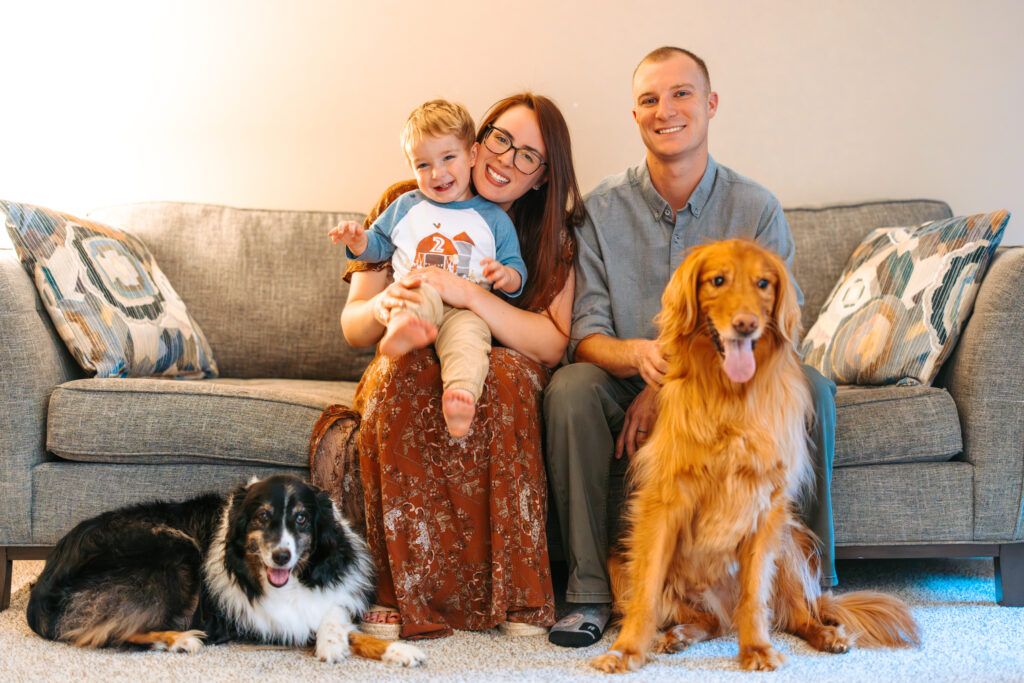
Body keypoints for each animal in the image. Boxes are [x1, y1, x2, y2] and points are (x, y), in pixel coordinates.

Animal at [25, 475, 423, 667]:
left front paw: (398, 651)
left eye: (301, 519)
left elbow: (343, 624)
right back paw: (179, 639)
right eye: (262, 517)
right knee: (110, 631)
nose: (281, 556)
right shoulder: (263, 622)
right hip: (176, 548)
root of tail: (42, 585)